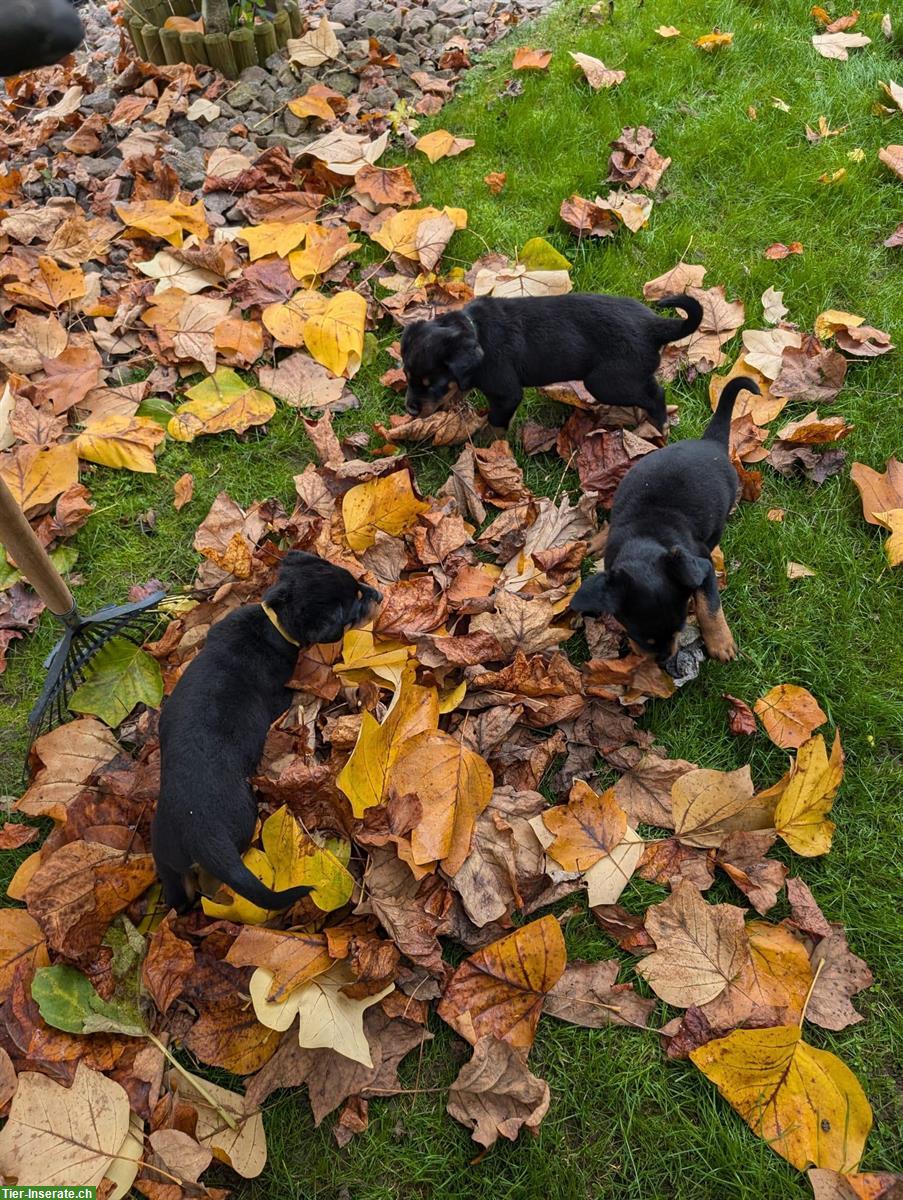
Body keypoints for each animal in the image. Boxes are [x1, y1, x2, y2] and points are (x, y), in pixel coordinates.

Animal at [151, 549, 381, 907]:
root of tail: (199, 832)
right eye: (354, 603)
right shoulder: (279, 695)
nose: (380, 596)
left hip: (165, 854)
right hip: (242, 822)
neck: (272, 619)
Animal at [398, 290, 701, 432]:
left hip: (606, 381)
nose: (410, 410)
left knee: (655, 394)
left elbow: (496, 422)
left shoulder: (506, 394)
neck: (475, 331)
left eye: (432, 383)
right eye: (408, 378)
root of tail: (653, 325)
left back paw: (659, 423)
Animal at [571, 376, 763, 667]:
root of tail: (712, 443)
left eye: (679, 629)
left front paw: (721, 643)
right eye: (641, 637)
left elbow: (710, 606)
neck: (645, 539)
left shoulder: (701, 564)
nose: (663, 661)